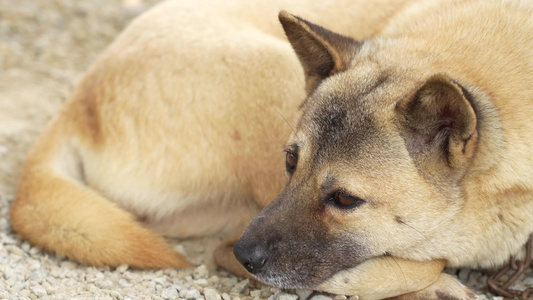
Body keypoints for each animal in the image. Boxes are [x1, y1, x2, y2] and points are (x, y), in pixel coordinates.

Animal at [9, 0, 532, 298]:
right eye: (290, 161)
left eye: (346, 199)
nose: (249, 257)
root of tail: (77, 101)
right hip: (276, 75)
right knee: (221, 251)